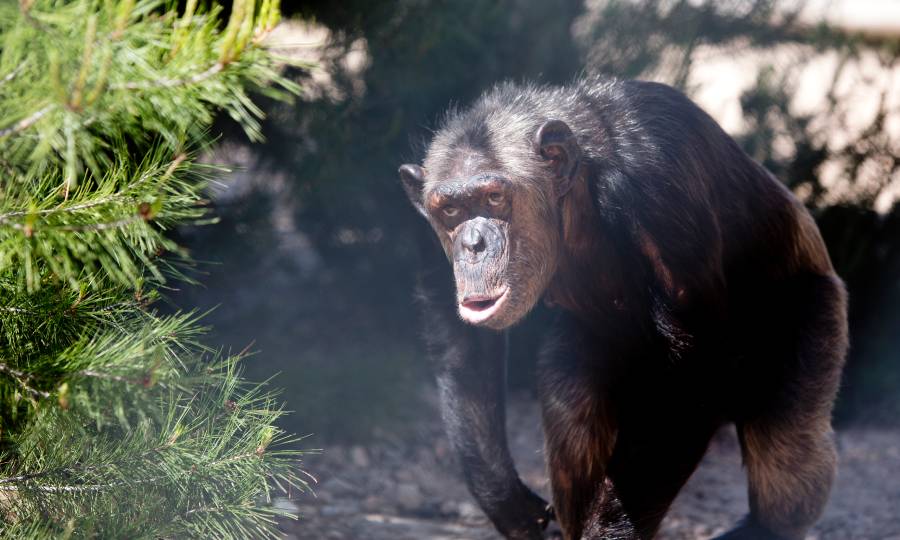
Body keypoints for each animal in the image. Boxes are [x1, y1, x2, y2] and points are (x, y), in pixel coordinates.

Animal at [398, 77, 847, 540]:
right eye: (452, 210)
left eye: (493, 198)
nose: (473, 244)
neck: (580, 190)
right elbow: (464, 341)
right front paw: (509, 504)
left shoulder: (661, 188)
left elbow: (693, 370)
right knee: (571, 401)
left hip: (811, 310)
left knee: (788, 440)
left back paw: (765, 526)